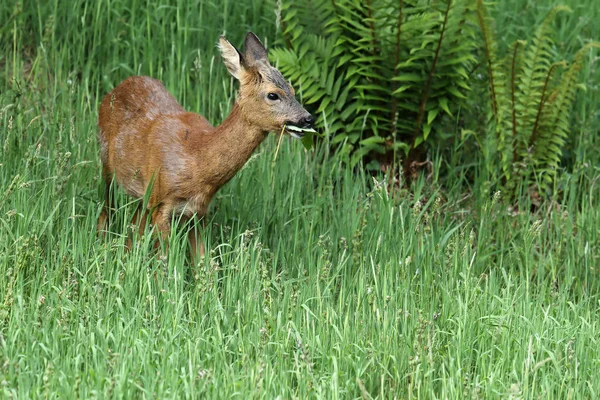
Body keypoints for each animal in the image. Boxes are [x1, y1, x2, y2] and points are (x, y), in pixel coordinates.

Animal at [95, 31, 314, 262]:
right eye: (273, 94)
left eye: (293, 90)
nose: (308, 119)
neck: (196, 160)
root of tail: (116, 88)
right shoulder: (161, 204)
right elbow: (165, 260)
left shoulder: (197, 212)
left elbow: (202, 261)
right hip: (106, 162)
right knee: (106, 210)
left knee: (133, 227)